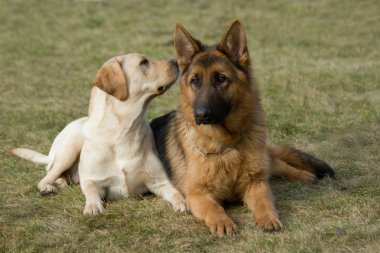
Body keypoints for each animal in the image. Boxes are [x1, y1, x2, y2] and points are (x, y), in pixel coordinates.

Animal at [12, 53, 188, 215]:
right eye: (143, 62)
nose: (176, 61)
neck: (122, 131)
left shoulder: (160, 181)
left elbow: (176, 193)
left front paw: (183, 203)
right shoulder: (92, 179)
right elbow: (90, 190)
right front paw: (92, 206)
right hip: (69, 148)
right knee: (46, 177)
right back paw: (49, 187)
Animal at [150, 20, 334, 236]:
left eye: (221, 78)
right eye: (195, 81)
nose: (201, 115)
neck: (225, 144)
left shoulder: (256, 184)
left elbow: (264, 203)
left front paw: (268, 218)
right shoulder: (197, 195)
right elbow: (214, 208)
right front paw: (223, 222)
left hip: (266, 164)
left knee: (281, 165)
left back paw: (304, 175)